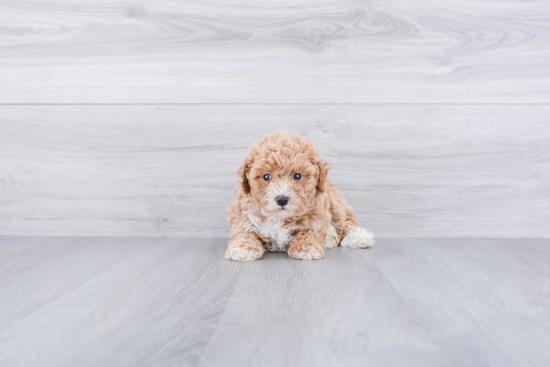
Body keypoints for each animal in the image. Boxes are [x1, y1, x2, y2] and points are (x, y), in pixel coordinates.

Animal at [225, 132, 376, 262]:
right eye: (266, 176)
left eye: (297, 176)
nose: (282, 199)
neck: (280, 218)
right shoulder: (244, 216)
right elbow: (243, 232)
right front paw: (241, 249)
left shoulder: (315, 217)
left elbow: (308, 232)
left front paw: (306, 250)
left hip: (335, 203)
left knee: (346, 221)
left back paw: (358, 237)